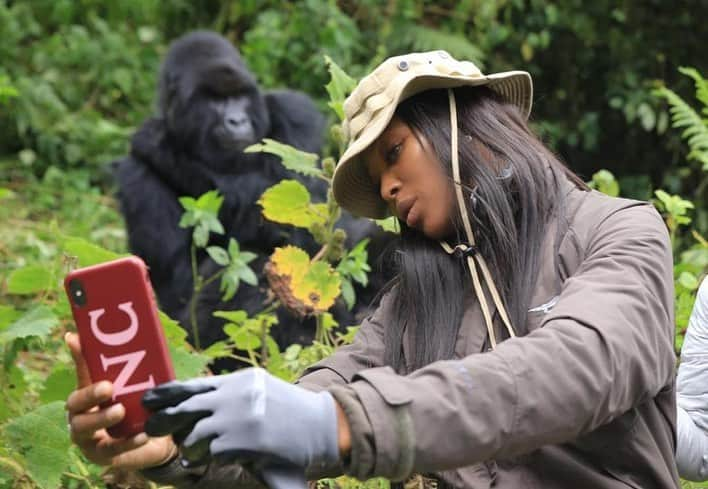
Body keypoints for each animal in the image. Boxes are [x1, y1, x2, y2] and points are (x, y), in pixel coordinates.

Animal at [112, 31, 388, 358]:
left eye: (240, 98)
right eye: (214, 101)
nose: (236, 121)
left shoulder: (296, 114)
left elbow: (312, 207)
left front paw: (168, 153)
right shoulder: (135, 176)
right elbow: (176, 286)